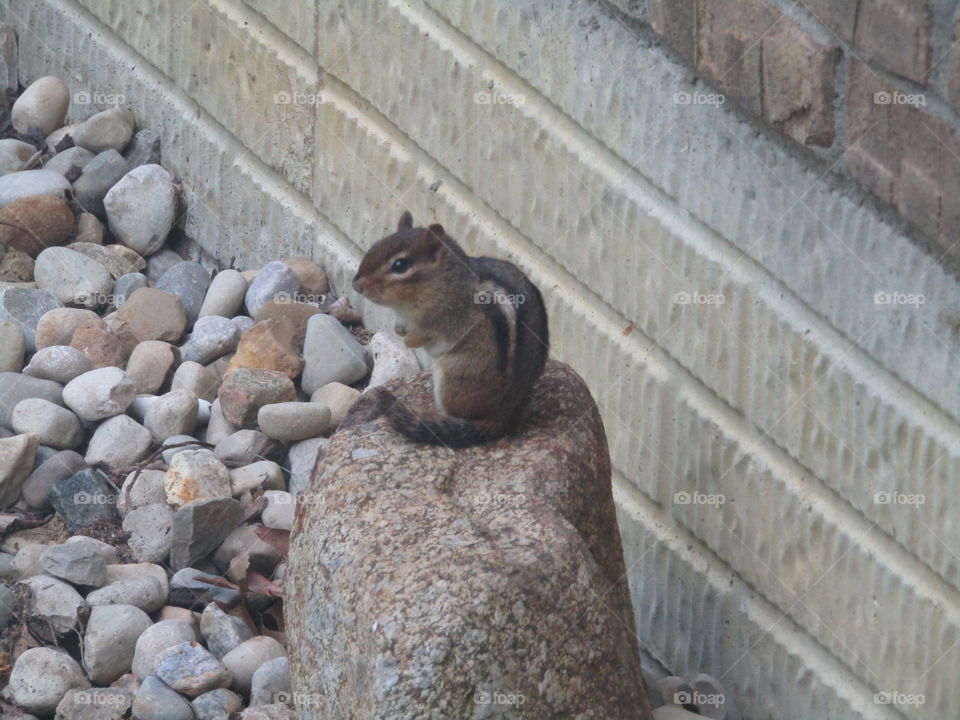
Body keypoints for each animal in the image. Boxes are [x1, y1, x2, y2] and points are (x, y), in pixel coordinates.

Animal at [351, 212, 549, 447]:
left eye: (399, 265)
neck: (444, 280)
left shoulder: (445, 321)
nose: (357, 285)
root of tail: (504, 416)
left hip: (451, 376)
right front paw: (399, 330)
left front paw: (409, 340)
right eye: (375, 245)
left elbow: (426, 335)